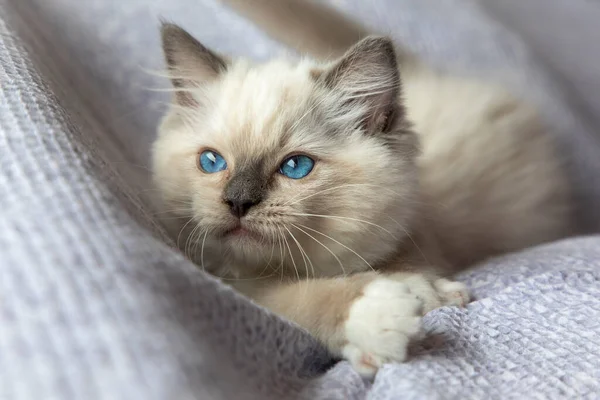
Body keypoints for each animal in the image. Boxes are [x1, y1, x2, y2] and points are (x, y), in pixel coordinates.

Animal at [151, 1, 572, 378]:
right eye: (212, 162)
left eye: (295, 167)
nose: (238, 201)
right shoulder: (235, 280)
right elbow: (291, 298)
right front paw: (377, 311)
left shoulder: (413, 226)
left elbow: (408, 258)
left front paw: (421, 291)